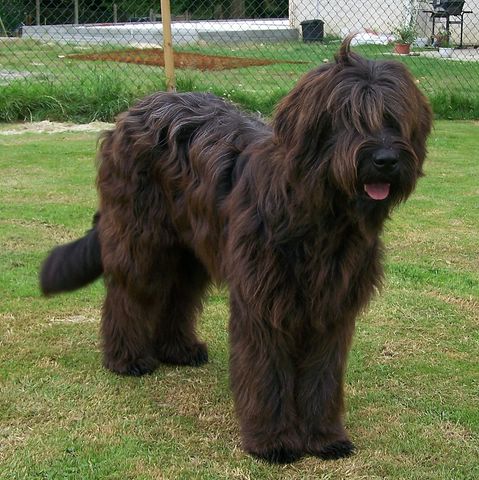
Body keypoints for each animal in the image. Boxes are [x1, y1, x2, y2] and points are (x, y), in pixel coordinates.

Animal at [40, 38, 432, 463]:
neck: (318, 215)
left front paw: (324, 437)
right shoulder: (263, 300)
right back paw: (126, 359)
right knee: (127, 295)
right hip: (140, 238)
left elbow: (322, 377)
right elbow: (267, 373)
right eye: (349, 117)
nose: (385, 160)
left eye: (394, 118)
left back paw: (178, 349)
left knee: (177, 296)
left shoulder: (331, 307)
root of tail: (134, 111)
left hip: (188, 250)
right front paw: (273, 441)